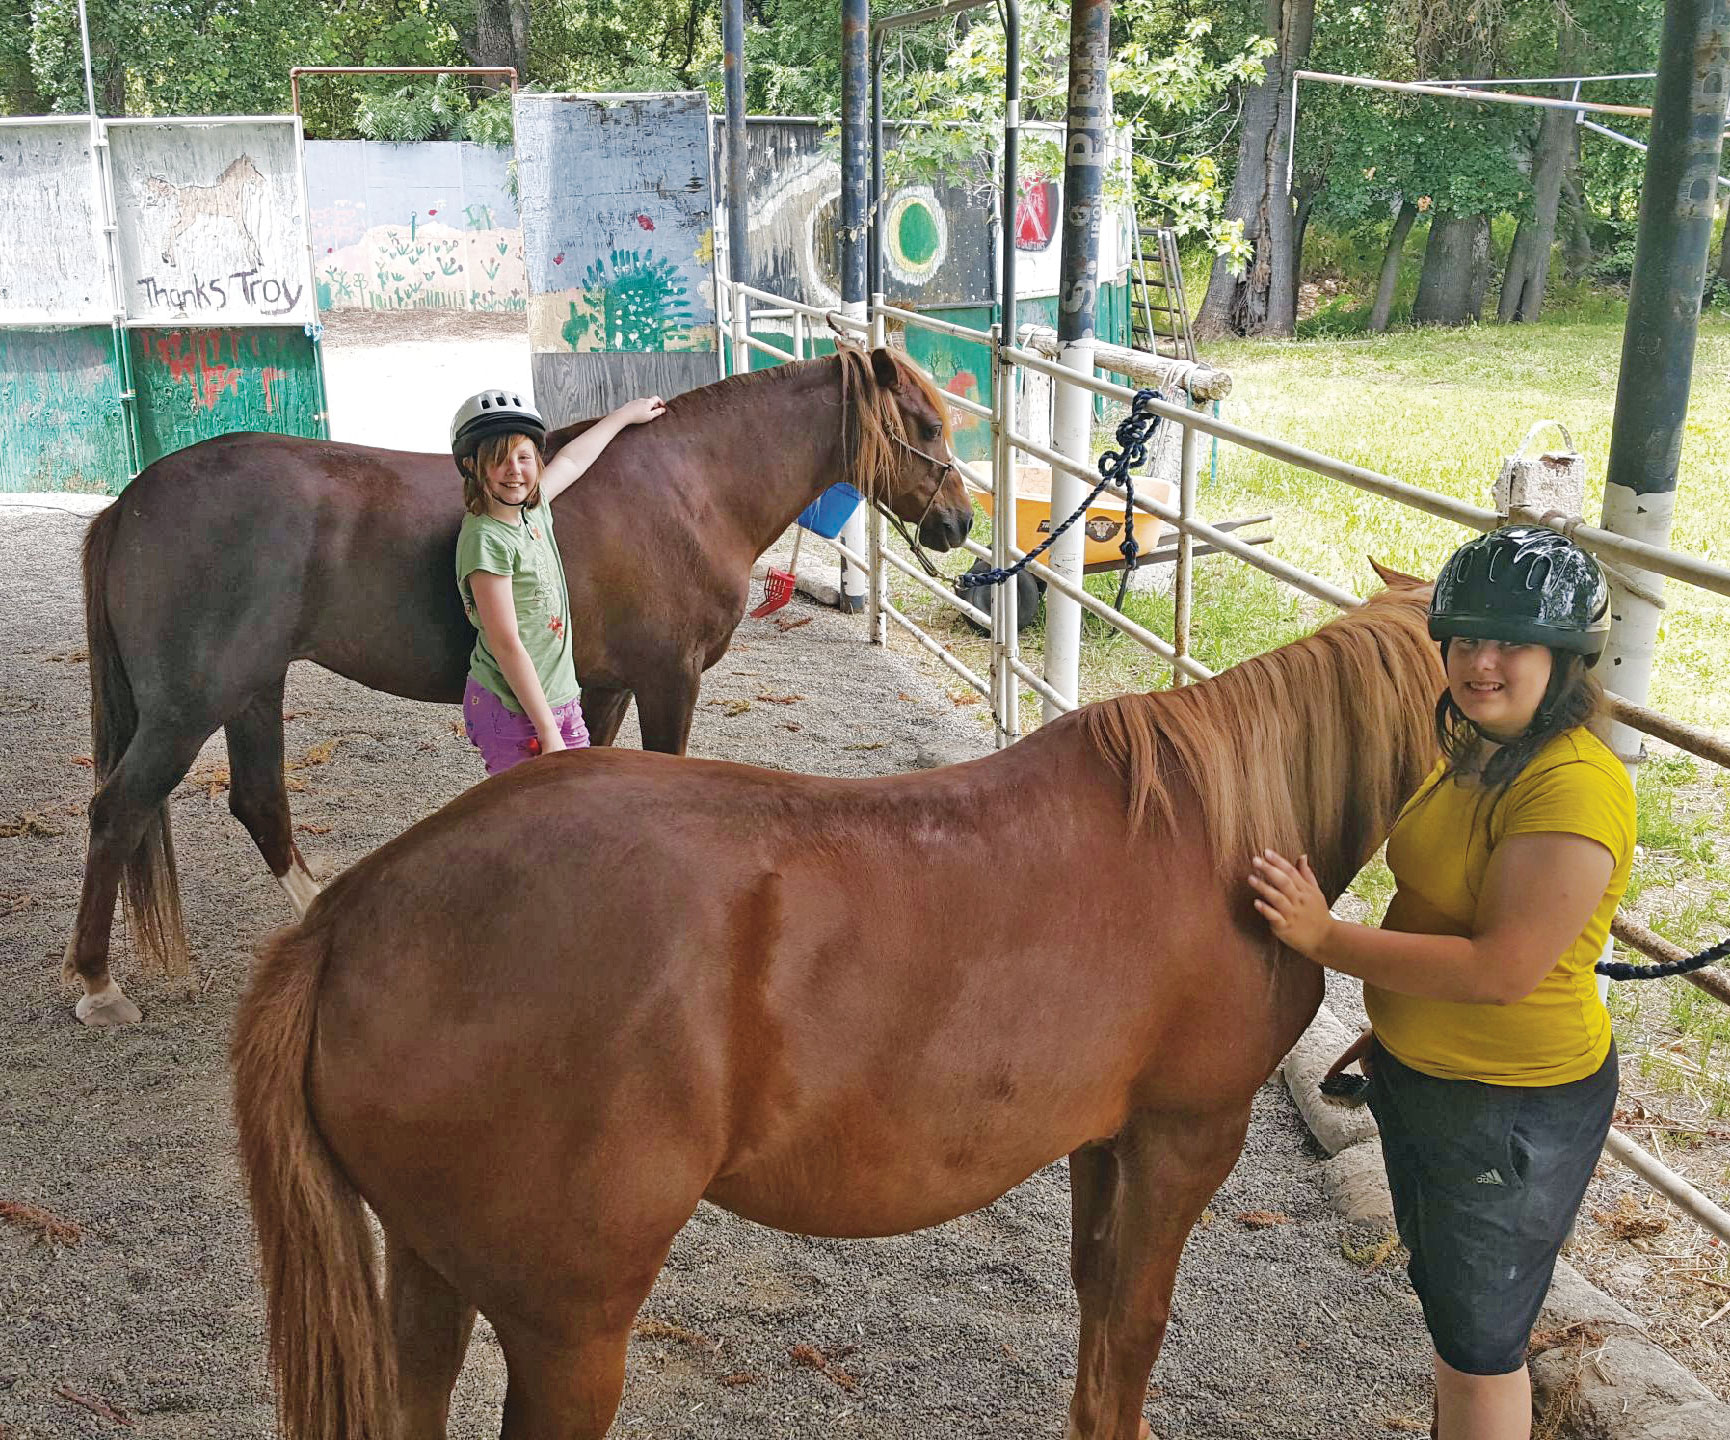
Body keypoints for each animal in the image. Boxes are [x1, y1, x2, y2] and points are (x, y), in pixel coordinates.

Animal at [70, 344, 975, 1031]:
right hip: (188, 709)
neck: (691, 488)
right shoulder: (667, 681)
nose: (960, 524)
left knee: (259, 804)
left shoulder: (602, 687)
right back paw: (97, 984)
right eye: (928, 425)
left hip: (252, 692)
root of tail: (131, 501)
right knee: (118, 811)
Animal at [230, 571, 1439, 1440]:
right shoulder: (1185, 1135)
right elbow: (1135, 1324)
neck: (1221, 830)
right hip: (566, 1329)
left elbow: (1098, 1303)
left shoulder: (1108, 1139)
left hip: (428, 1268)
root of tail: (354, 915)